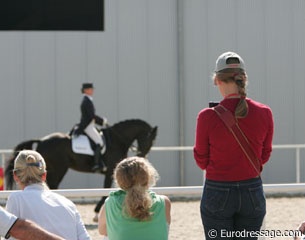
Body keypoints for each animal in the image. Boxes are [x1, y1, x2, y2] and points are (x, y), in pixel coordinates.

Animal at [4, 119, 157, 218]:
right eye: (150, 139)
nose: (142, 155)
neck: (118, 139)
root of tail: (41, 140)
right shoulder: (109, 171)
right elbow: (105, 188)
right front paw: (97, 212)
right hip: (59, 169)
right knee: (53, 186)